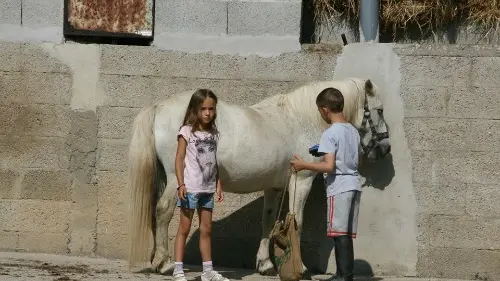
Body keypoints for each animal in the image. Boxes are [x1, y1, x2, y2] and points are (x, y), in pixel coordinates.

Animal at [125, 76, 390, 276]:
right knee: (163, 211)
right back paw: (164, 264)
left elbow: (268, 222)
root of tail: (158, 108)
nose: (384, 149)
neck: (300, 120)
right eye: (379, 110)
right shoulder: (301, 180)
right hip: (175, 180)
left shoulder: (274, 187)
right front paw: (301, 269)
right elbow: (297, 222)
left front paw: (266, 265)